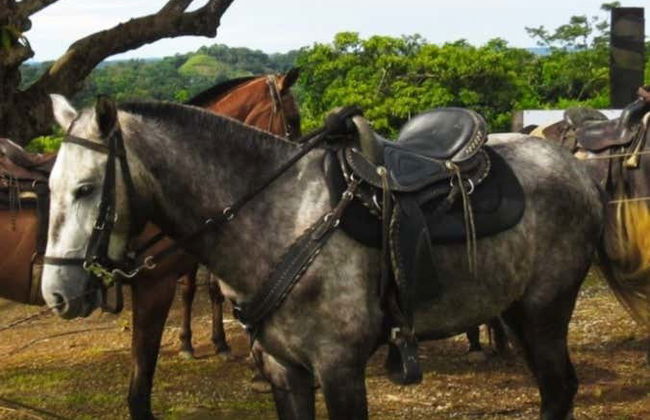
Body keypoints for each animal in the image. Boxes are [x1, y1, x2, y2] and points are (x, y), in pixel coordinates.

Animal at [42, 95, 603, 419]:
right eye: (48, 188)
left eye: (86, 189)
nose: (57, 294)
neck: (281, 217)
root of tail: (574, 168)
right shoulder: (284, 369)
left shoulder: (339, 368)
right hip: (515, 312)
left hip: (545, 311)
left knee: (559, 390)